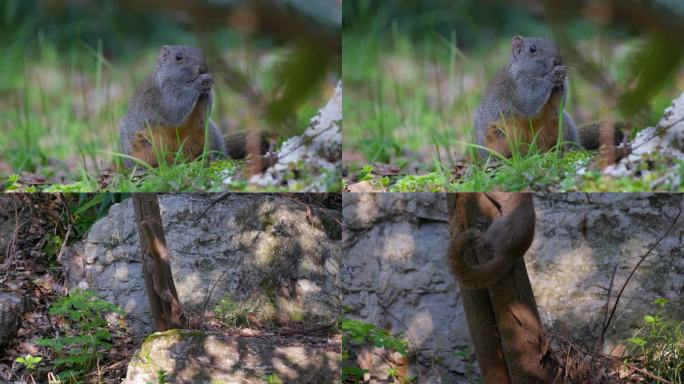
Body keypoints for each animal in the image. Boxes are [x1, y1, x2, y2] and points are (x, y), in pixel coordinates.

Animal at [117, 44, 268, 166]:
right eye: (178, 57)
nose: (203, 68)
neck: (181, 84)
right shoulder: (161, 97)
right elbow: (174, 109)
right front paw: (200, 83)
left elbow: (202, 112)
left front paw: (208, 85)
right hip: (138, 146)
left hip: (209, 134)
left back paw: (212, 158)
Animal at [472, 35, 624, 158]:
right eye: (532, 49)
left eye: (557, 46)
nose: (557, 60)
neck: (535, 75)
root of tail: (535, 151)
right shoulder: (516, 88)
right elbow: (529, 102)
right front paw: (553, 75)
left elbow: (558, 102)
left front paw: (562, 77)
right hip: (493, 138)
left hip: (563, 125)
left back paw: (567, 148)